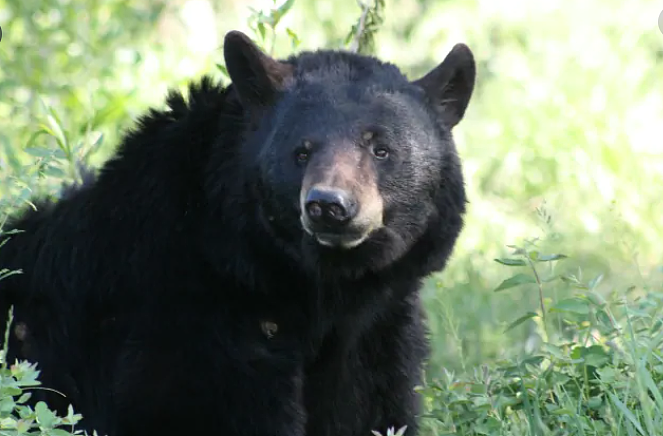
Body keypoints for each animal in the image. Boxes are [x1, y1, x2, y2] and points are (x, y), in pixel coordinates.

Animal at [0, 30, 478, 436]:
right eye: (301, 151)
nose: (329, 206)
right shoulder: (194, 316)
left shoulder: (372, 334)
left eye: (381, 149)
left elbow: (370, 409)